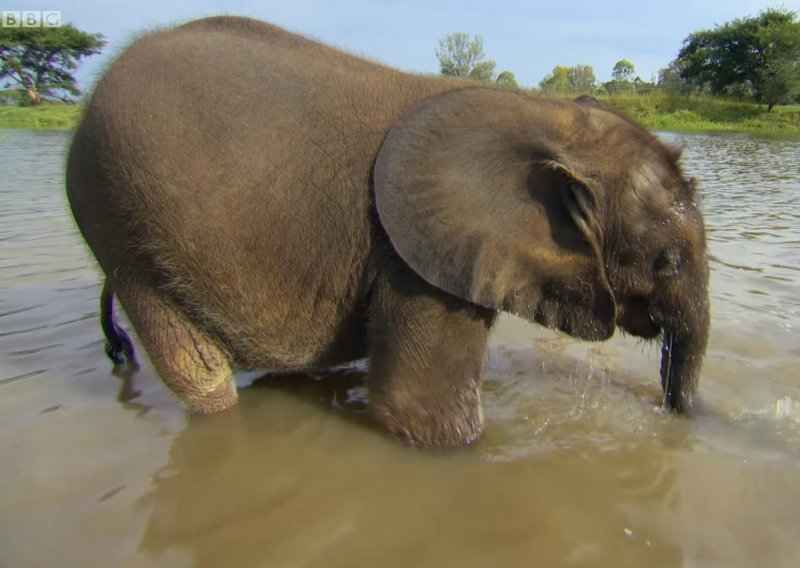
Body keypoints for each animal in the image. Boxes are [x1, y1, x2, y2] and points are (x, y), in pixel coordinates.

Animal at [65, 15, 708, 448]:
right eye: (667, 263)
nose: (671, 416)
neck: (539, 112)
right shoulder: (417, 255)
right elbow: (420, 413)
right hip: (120, 224)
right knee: (198, 374)